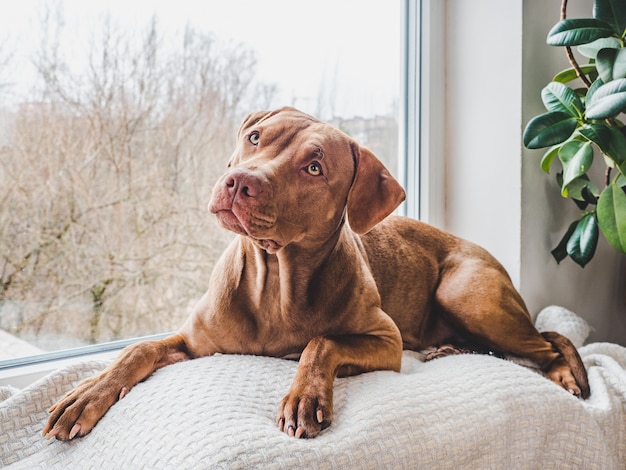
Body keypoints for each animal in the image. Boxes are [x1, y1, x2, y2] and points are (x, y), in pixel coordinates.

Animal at [42, 105, 584, 440]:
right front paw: (88, 393)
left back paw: (560, 371)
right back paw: (455, 348)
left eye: (315, 168)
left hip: (466, 290)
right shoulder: (196, 341)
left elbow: (321, 341)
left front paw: (304, 395)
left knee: (547, 340)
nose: (239, 182)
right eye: (255, 138)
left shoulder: (386, 341)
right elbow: (138, 349)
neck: (274, 281)